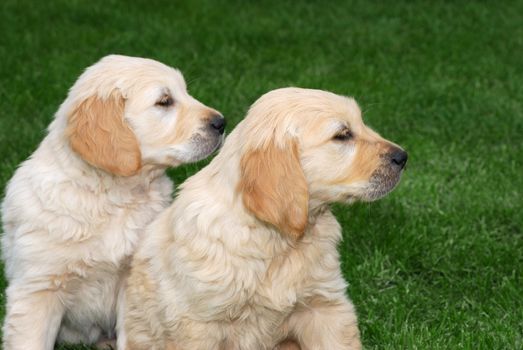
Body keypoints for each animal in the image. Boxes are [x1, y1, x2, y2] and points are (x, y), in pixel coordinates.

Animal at [0, 54, 225, 350]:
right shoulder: (38, 288)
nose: (221, 122)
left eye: (185, 92)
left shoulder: (134, 281)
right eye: (164, 101)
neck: (113, 197)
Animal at [119, 87, 410, 350]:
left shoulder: (324, 307)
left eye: (359, 124)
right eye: (342, 135)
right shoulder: (199, 324)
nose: (403, 156)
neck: (275, 241)